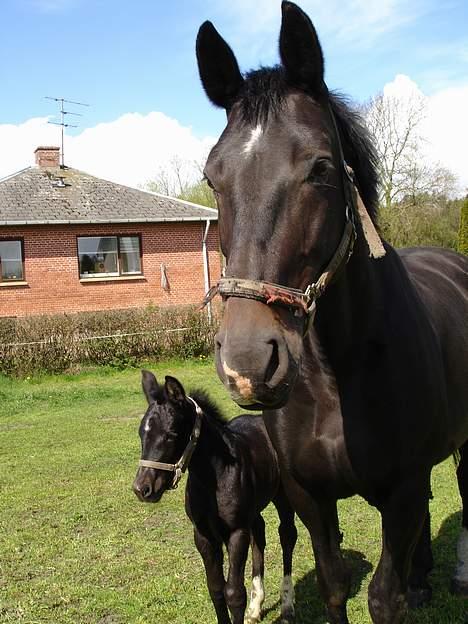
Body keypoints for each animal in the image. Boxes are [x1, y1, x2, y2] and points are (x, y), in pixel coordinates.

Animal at [132, 370, 296, 624]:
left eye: (171, 435)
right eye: (142, 433)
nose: (142, 489)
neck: (214, 478)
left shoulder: (236, 532)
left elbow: (234, 592)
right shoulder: (203, 534)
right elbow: (215, 588)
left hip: (283, 497)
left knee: (287, 535)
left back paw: (287, 606)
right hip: (252, 510)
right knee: (259, 533)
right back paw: (255, 608)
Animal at [195, 2, 468, 620]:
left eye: (320, 168)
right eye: (211, 177)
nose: (249, 361)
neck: (340, 372)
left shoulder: (402, 491)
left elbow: (383, 596)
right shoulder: (309, 495)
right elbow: (333, 581)